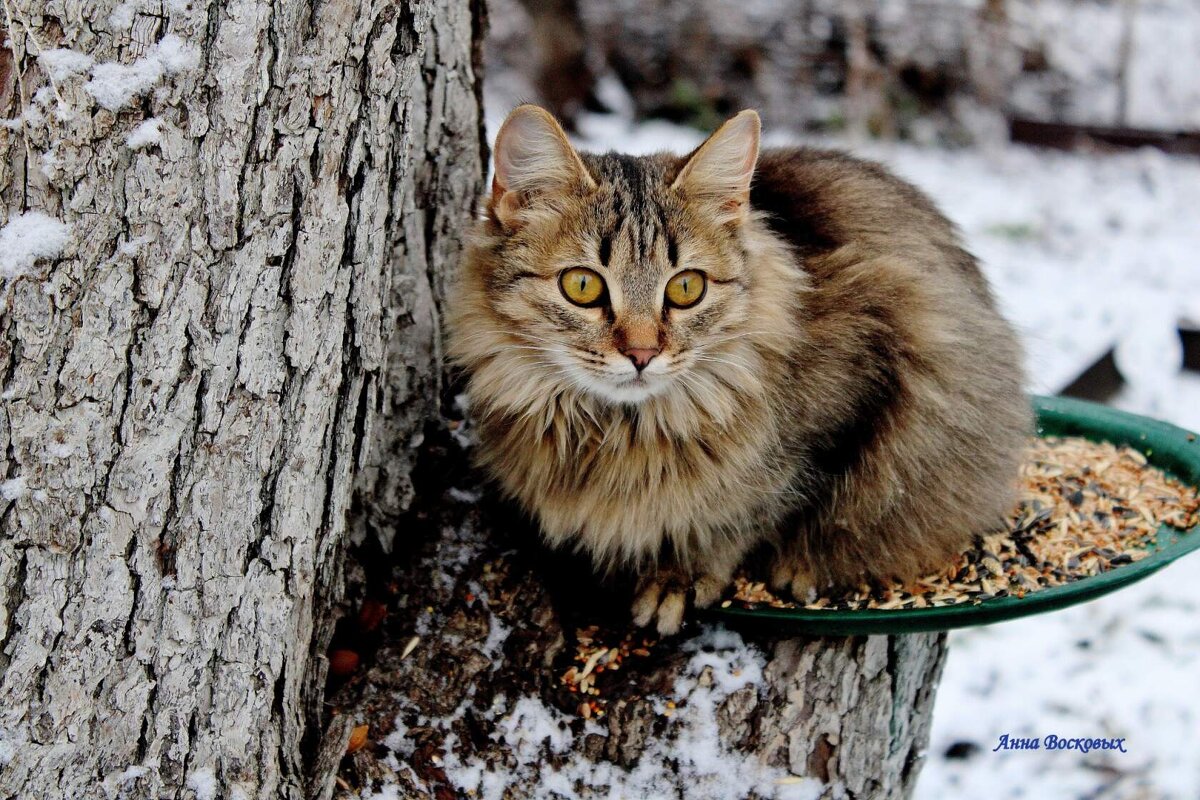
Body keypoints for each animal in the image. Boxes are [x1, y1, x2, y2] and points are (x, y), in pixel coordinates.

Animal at [446, 103, 1027, 633]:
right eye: (582, 285)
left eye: (686, 287)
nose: (642, 354)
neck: (617, 432)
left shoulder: (865, 379)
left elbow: (752, 513)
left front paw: (680, 576)